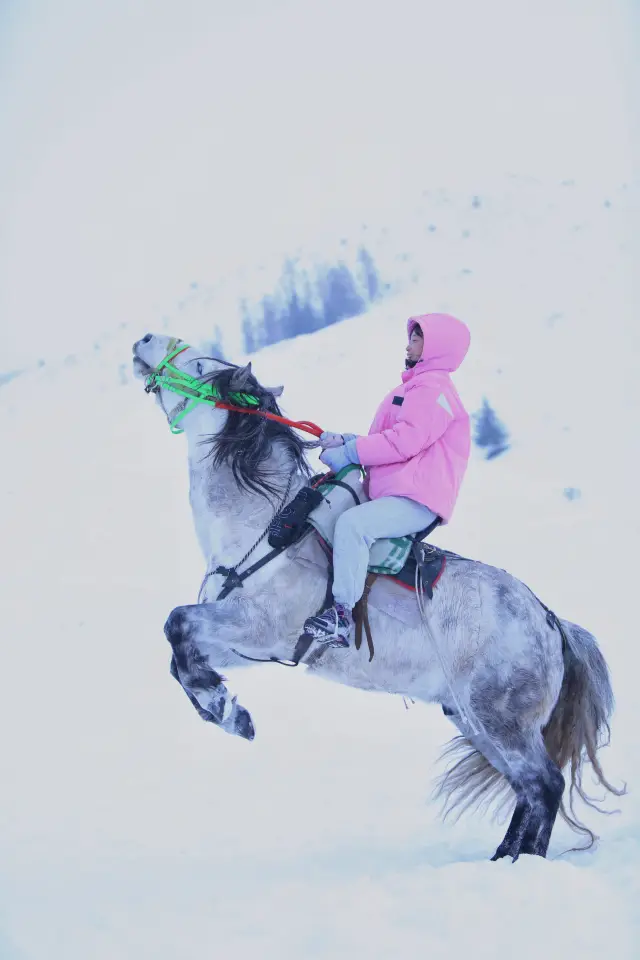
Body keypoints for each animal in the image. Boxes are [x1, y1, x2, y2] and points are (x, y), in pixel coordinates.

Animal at [131, 334, 624, 860]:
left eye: (201, 366)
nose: (145, 340)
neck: (267, 527)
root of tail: (550, 621)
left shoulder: (258, 627)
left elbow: (176, 622)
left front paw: (223, 708)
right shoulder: (243, 643)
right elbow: (179, 656)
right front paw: (226, 708)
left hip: (501, 721)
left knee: (545, 785)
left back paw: (518, 862)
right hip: (474, 720)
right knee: (527, 789)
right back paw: (502, 859)